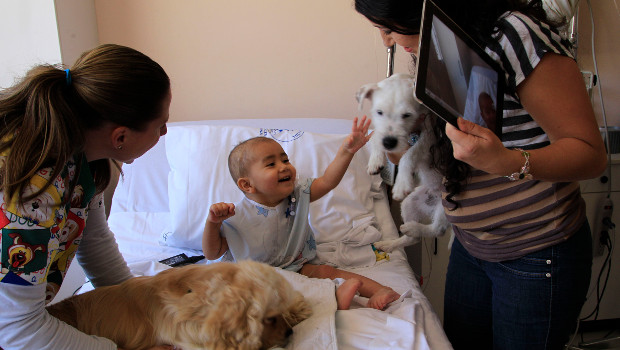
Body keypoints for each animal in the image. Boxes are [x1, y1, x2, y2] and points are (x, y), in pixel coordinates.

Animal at [356, 73, 448, 252]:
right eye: (379, 112)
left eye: (407, 115)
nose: (389, 143)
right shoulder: (380, 129)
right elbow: (376, 135)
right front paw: (375, 160)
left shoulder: (428, 136)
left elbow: (409, 155)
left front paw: (402, 182)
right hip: (409, 203)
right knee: (413, 238)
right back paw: (391, 243)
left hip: (448, 207)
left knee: (438, 229)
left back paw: (413, 228)